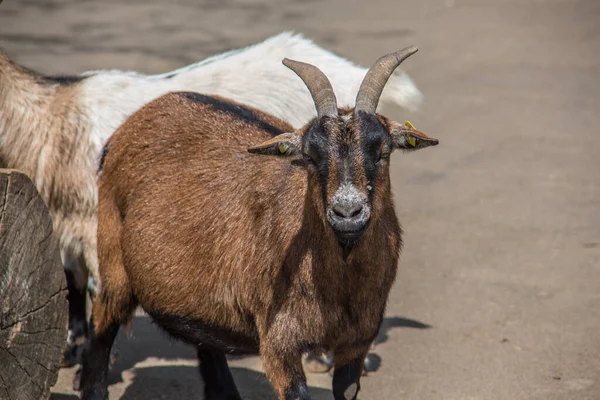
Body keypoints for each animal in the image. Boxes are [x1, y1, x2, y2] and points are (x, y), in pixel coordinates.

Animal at [81, 47, 436, 400]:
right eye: (310, 156)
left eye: (383, 152)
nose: (347, 212)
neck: (340, 286)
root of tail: (123, 131)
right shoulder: (279, 343)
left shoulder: (357, 343)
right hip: (113, 265)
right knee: (100, 330)